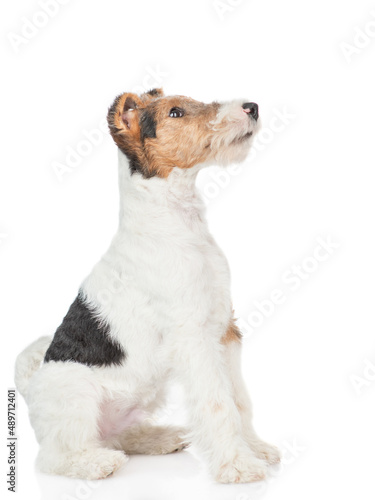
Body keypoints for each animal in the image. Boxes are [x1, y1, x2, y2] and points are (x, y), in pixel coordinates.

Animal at [15, 88, 282, 482]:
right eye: (175, 112)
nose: (252, 108)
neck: (176, 219)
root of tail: (29, 387)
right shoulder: (193, 338)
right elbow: (218, 404)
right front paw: (237, 465)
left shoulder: (224, 329)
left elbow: (239, 400)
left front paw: (256, 448)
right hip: (75, 395)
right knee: (56, 455)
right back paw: (97, 463)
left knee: (120, 435)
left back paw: (162, 438)